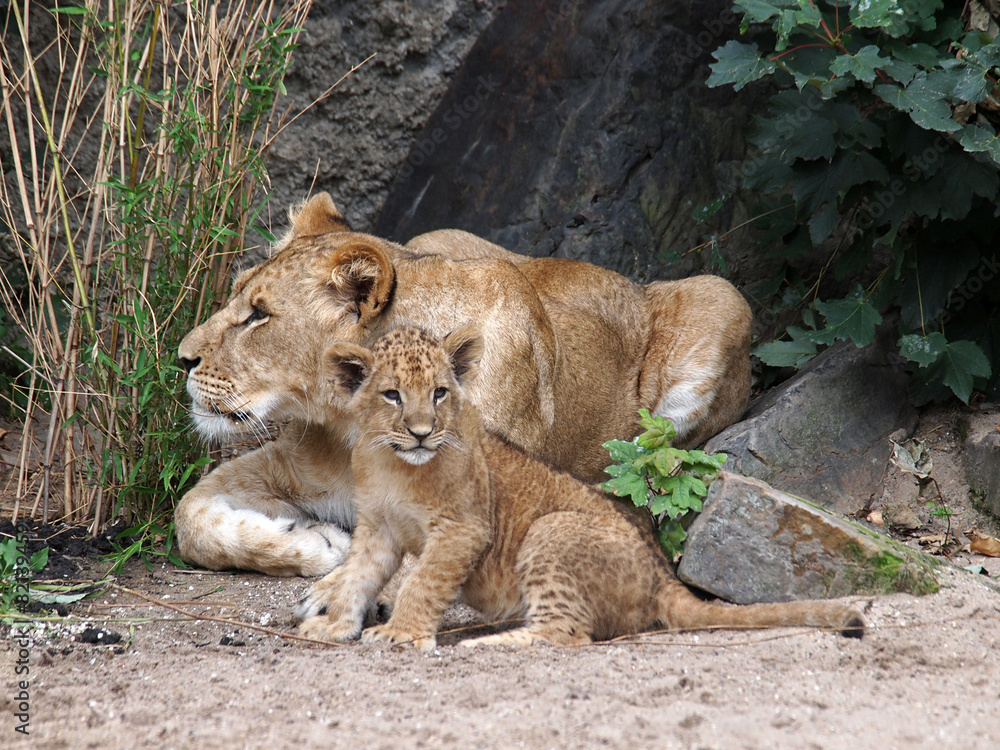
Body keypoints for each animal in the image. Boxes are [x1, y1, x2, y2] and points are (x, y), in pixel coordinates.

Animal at [175, 193, 752, 576]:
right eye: (236, 295)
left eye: (259, 315)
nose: (181, 359)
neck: (354, 422)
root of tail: (631, 281)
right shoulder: (287, 467)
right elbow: (189, 517)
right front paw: (311, 543)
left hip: (723, 297)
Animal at [295, 325, 864, 649]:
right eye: (392, 395)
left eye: (439, 393)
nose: (420, 432)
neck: (395, 465)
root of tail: (662, 578)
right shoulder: (377, 527)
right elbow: (357, 577)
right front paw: (336, 626)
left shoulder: (462, 528)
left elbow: (423, 582)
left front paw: (401, 633)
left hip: (552, 529)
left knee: (567, 634)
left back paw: (492, 643)